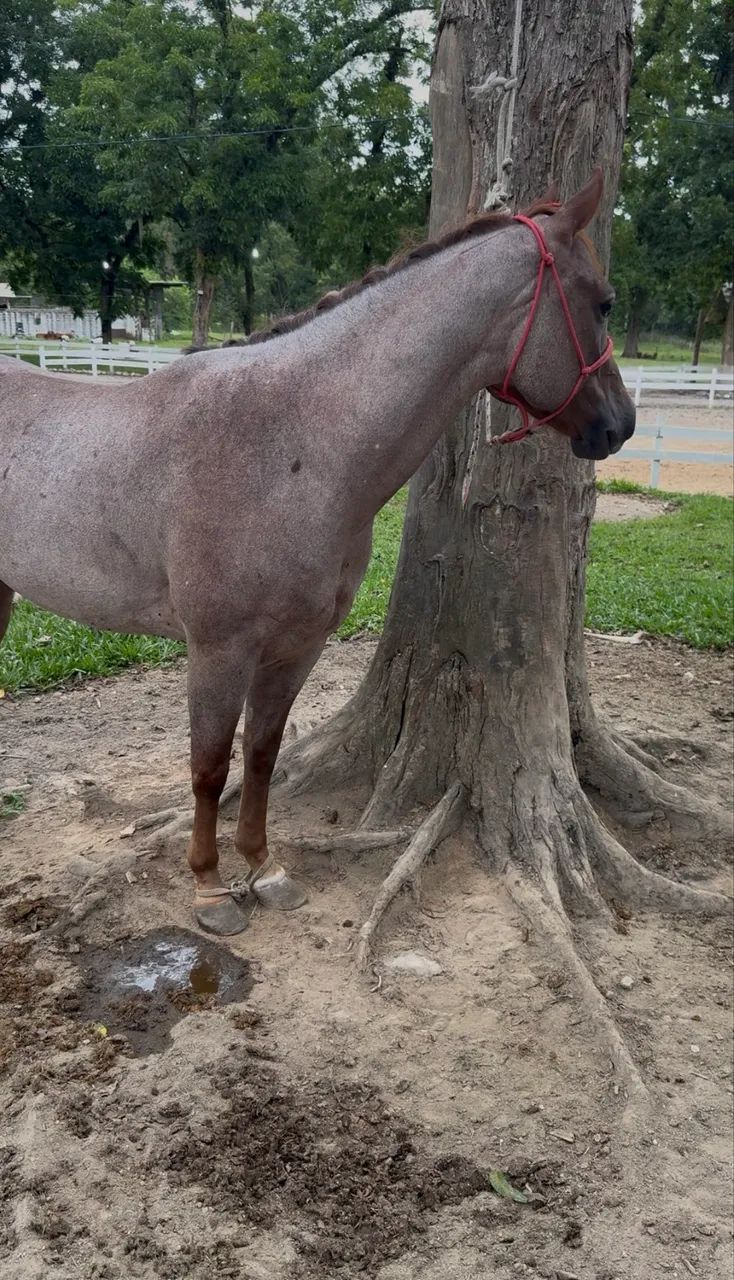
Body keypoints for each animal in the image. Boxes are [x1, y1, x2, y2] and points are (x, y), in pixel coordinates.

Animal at [0, 171, 635, 936]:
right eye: (602, 302)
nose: (622, 424)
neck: (296, 441)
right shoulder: (219, 649)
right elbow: (209, 766)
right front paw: (210, 888)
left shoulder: (296, 645)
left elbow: (263, 754)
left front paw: (264, 868)